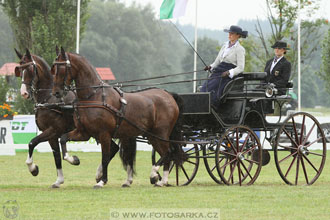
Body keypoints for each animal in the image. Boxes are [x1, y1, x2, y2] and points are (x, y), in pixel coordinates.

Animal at [14, 48, 80, 187]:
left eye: (30, 69)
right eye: (19, 70)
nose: (24, 93)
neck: (49, 98)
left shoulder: (53, 130)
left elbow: (32, 142)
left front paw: (33, 168)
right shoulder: (52, 136)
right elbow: (57, 157)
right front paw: (59, 180)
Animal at [51, 47, 183, 188]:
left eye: (62, 68)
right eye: (53, 68)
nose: (56, 92)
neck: (94, 96)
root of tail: (168, 95)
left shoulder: (104, 134)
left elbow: (105, 157)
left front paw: (102, 181)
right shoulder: (84, 133)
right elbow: (63, 139)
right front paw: (74, 160)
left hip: (161, 134)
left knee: (168, 152)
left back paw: (155, 175)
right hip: (152, 135)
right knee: (166, 154)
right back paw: (161, 180)